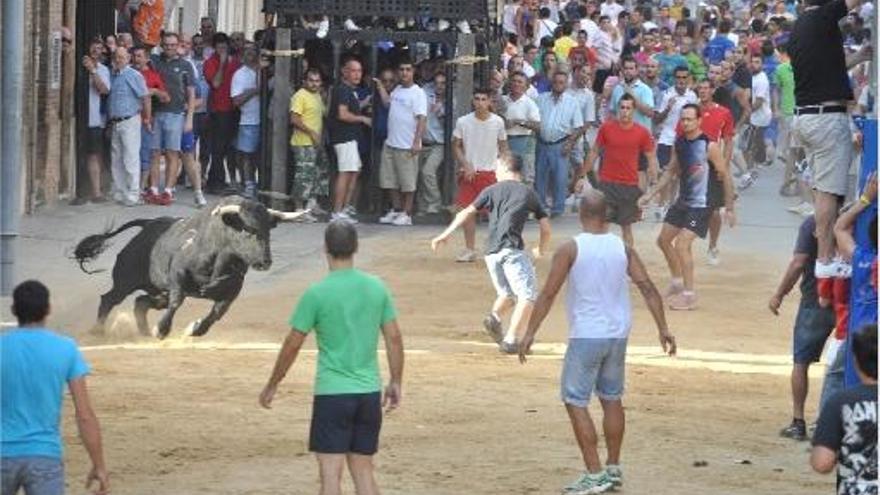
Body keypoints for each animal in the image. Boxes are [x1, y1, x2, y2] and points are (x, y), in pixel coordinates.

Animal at [72, 198, 308, 340]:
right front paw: (162, 330)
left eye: (268, 230)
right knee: (109, 299)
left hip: (158, 291)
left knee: (141, 303)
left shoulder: (231, 292)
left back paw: (144, 334)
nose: (264, 262)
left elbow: (216, 314)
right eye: (247, 230)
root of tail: (147, 224)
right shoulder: (178, 276)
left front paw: (193, 329)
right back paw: (98, 331)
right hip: (126, 280)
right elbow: (178, 302)